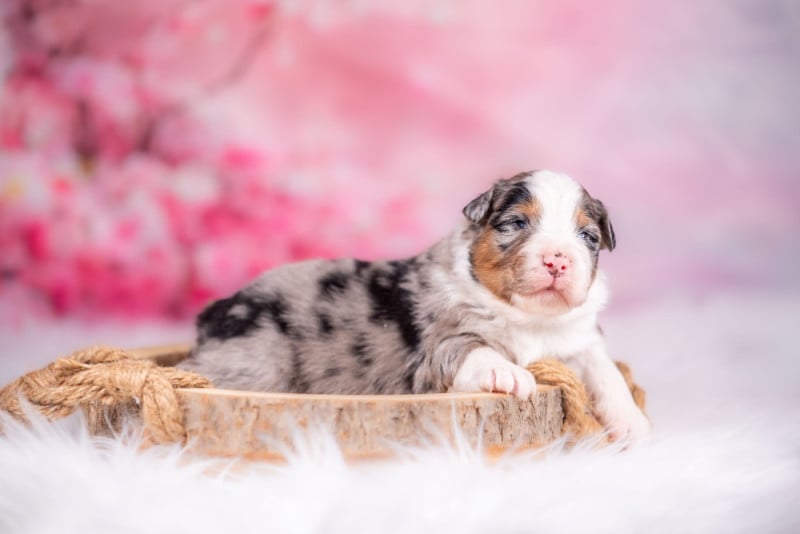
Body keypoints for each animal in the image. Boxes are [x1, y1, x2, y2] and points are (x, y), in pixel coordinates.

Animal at [179, 170, 651, 442]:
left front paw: (632, 422)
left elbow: (606, 371)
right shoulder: (437, 347)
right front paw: (509, 374)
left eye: (587, 237)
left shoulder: (581, 338)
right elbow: (474, 349)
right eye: (516, 223)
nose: (558, 260)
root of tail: (218, 308)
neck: (528, 318)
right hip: (253, 361)